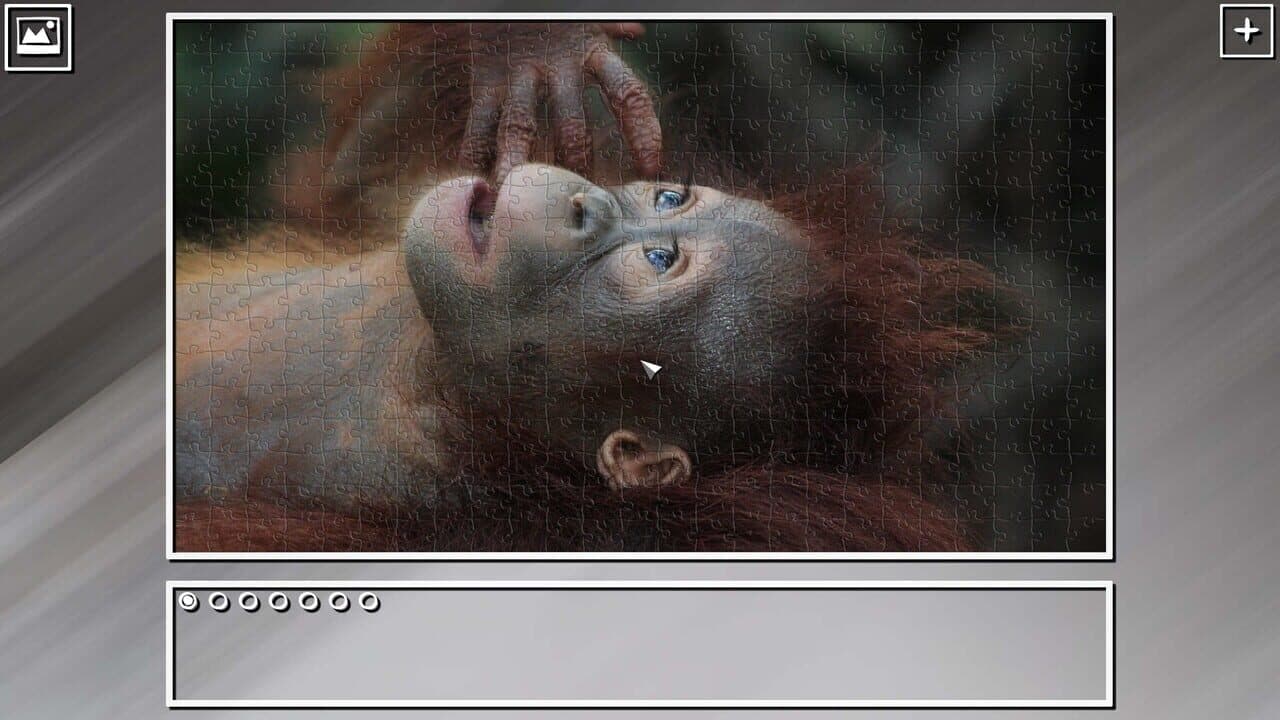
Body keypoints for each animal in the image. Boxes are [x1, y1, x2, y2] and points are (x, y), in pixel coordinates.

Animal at [174, 23, 1014, 552]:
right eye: (670, 197)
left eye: (657, 261)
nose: (589, 202)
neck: (422, 363)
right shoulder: (407, 197)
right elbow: (350, 162)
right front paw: (532, 49)